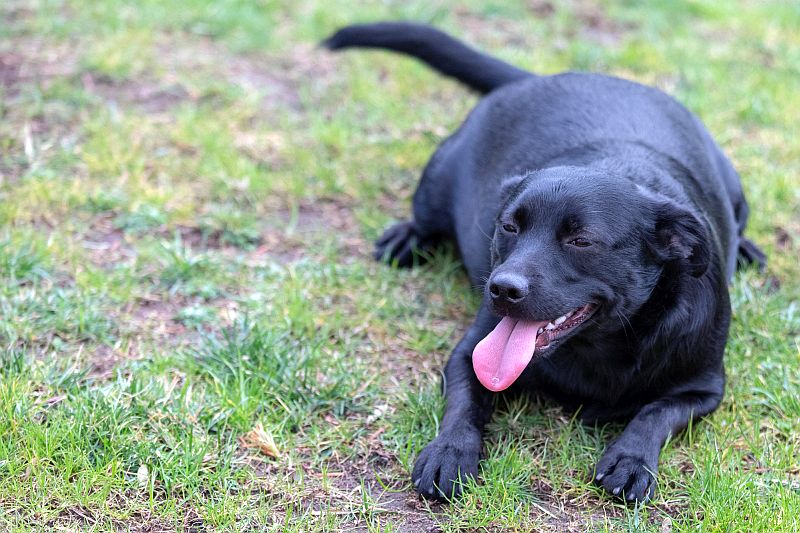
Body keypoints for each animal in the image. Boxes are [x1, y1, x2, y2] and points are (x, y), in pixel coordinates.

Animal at [324, 21, 764, 502]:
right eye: (508, 226)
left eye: (581, 240)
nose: (501, 288)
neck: (601, 347)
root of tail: (538, 77)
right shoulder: (470, 353)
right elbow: (465, 403)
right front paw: (450, 450)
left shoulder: (703, 388)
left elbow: (656, 413)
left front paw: (631, 459)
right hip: (436, 179)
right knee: (424, 218)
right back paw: (406, 238)